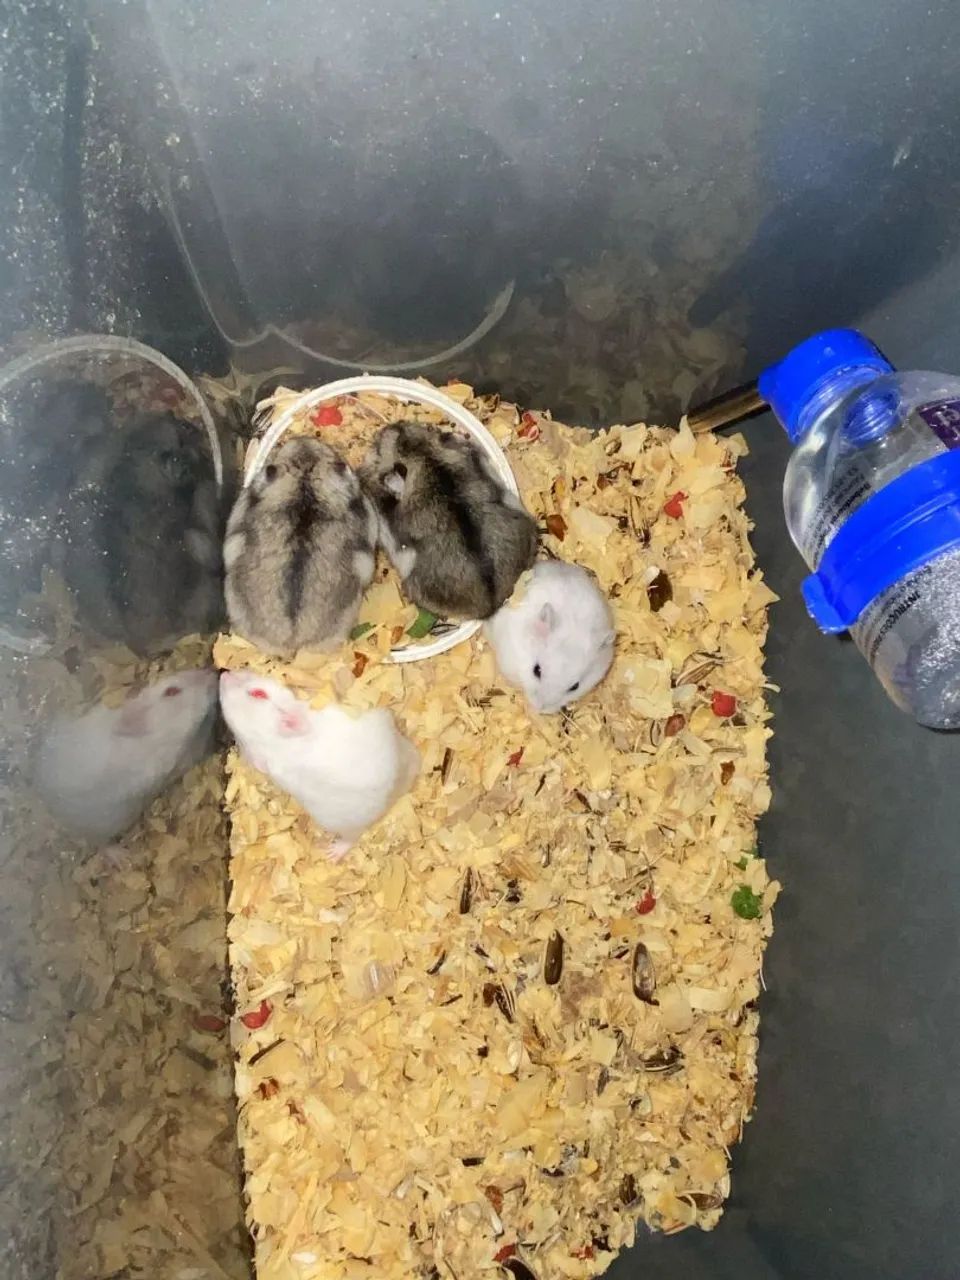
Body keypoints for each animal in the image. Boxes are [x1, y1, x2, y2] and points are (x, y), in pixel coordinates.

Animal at [219, 670, 419, 856]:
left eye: (258, 693)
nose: (223, 673)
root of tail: (397, 781)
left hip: (340, 821)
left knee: (352, 837)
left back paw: (332, 853)